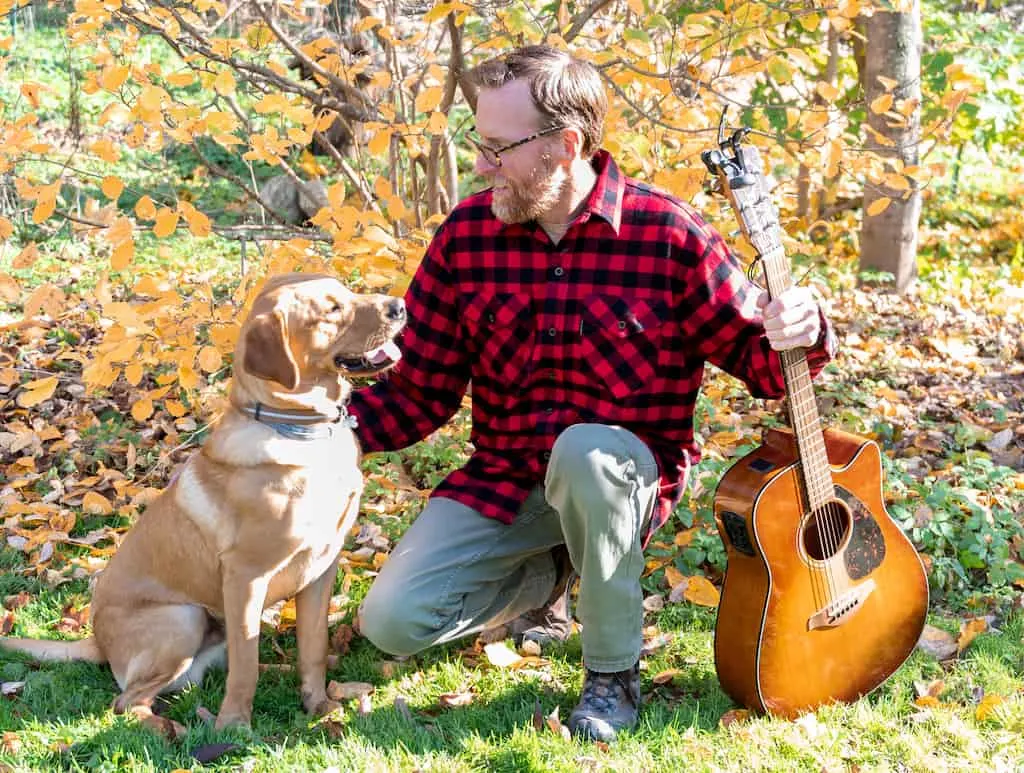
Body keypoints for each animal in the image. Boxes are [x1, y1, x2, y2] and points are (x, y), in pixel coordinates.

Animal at [1, 274, 403, 733]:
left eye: (349, 292)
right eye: (332, 309)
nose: (400, 306)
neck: (303, 432)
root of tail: (98, 643)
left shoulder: (322, 569)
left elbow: (311, 649)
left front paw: (317, 704)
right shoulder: (246, 576)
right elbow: (244, 667)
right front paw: (234, 726)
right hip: (185, 618)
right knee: (128, 700)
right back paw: (167, 727)